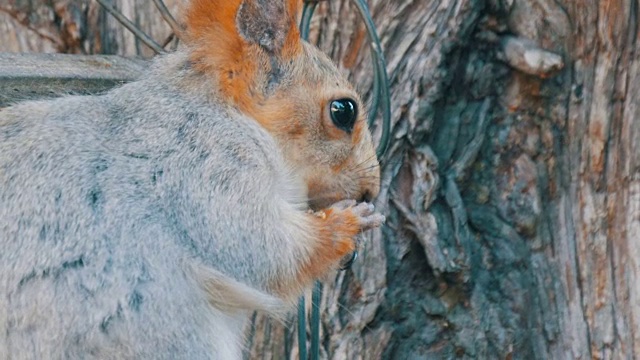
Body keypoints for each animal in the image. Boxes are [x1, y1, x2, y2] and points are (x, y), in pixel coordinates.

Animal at [0, 0, 384, 358]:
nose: (371, 190)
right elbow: (261, 247)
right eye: (343, 110)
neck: (225, 111)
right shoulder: (205, 164)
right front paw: (348, 223)